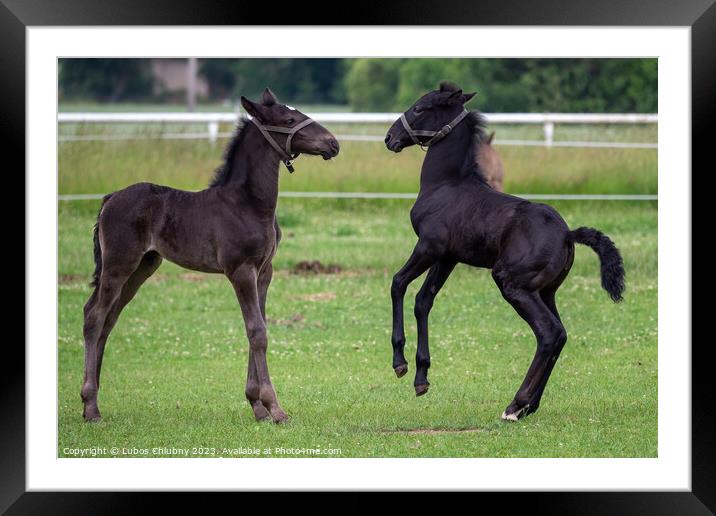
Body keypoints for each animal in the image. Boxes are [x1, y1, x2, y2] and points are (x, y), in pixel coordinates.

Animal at [82, 89, 340, 424]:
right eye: (288, 120)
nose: (333, 143)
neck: (248, 204)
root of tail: (110, 198)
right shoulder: (240, 270)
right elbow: (257, 332)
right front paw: (274, 407)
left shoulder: (264, 272)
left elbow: (259, 326)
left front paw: (257, 406)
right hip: (118, 264)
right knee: (94, 315)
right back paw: (90, 405)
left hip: (143, 267)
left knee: (109, 319)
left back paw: (92, 402)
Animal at [384, 80, 624, 420]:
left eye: (420, 108)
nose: (390, 138)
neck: (446, 185)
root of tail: (567, 234)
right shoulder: (448, 257)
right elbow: (423, 301)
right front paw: (421, 378)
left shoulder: (429, 247)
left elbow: (398, 283)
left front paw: (400, 363)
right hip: (545, 291)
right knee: (561, 334)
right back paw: (529, 406)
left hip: (512, 283)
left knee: (549, 333)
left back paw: (516, 405)